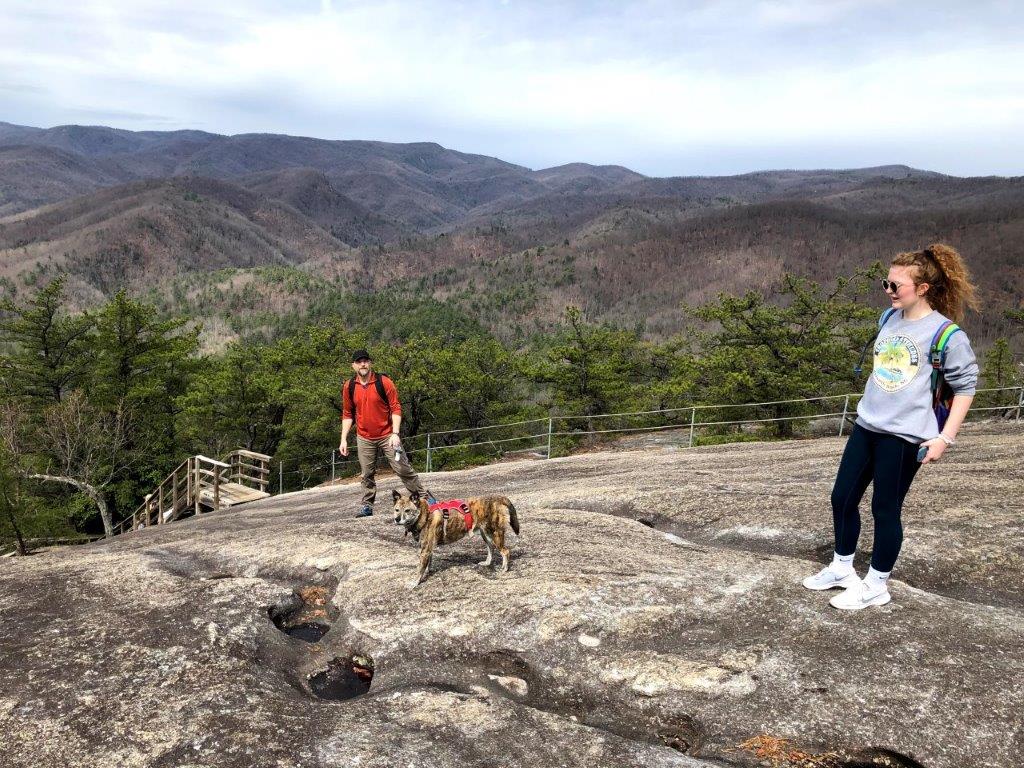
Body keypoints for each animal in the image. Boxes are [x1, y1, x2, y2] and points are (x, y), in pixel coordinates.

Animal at [391, 489, 520, 593]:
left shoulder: (425, 549)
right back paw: (487, 562)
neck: (425, 513)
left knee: (505, 551)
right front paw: (428, 572)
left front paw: (414, 582)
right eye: (396, 510)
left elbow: (419, 569)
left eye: (407, 510)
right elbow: (428, 564)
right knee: (491, 548)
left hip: (495, 534)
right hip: (486, 534)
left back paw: (504, 569)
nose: (397, 519)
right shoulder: (428, 548)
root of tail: (497, 498)